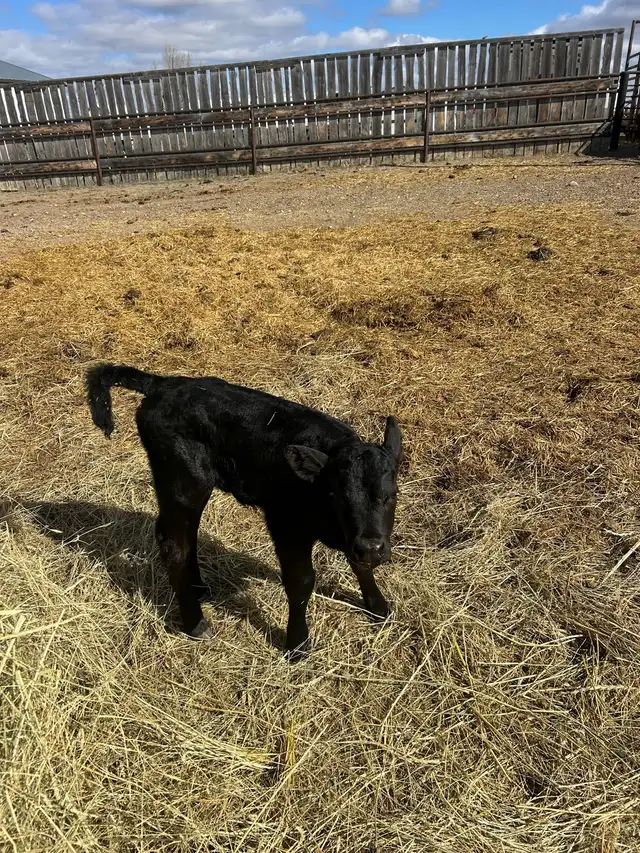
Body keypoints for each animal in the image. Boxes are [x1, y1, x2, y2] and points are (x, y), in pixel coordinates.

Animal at [86, 364, 403, 660]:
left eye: (391, 494)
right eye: (336, 495)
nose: (371, 548)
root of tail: (164, 384)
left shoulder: (354, 537)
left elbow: (360, 565)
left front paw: (379, 607)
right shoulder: (285, 524)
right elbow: (301, 582)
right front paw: (297, 645)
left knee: (188, 536)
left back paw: (198, 588)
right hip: (183, 482)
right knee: (173, 545)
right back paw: (195, 623)